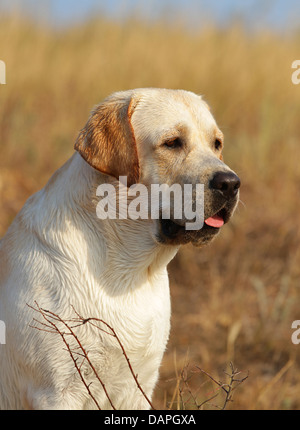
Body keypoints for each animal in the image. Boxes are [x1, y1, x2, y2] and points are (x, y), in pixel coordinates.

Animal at [0, 88, 240, 410]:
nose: (231, 183)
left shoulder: (140, 386)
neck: (129, 271)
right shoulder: (56, 392)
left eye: (216, 144)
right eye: (172, 142)